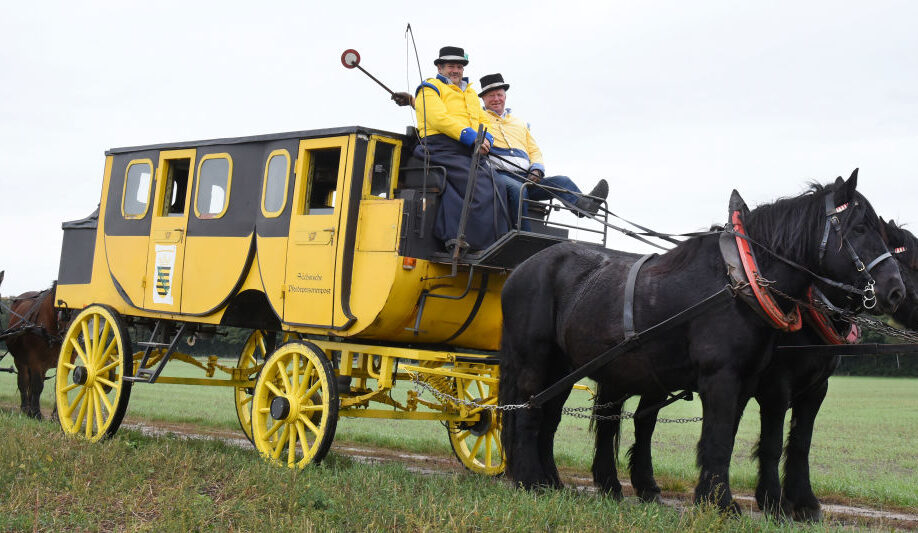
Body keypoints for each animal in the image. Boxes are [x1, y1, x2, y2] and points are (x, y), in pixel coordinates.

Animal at [4, 280, 62, 418]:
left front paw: (56, 417)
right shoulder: (35, 360)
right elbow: (37, 385)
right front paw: (36, 413)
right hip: (21, 360)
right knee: (23, 381)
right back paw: (26, 409)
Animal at [500, 171, 904, 512]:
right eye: (859, 227)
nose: (895, 290)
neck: (739, 279)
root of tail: (520, 269)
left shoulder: (749, 382)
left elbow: (729, 439)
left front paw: (714, 498)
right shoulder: (726, 378)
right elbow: (720, 437)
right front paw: (723, 503)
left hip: (566, 368)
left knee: (552, 416)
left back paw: (552, 481)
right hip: (535, 361)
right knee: (529, 411)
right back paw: (529, 481)